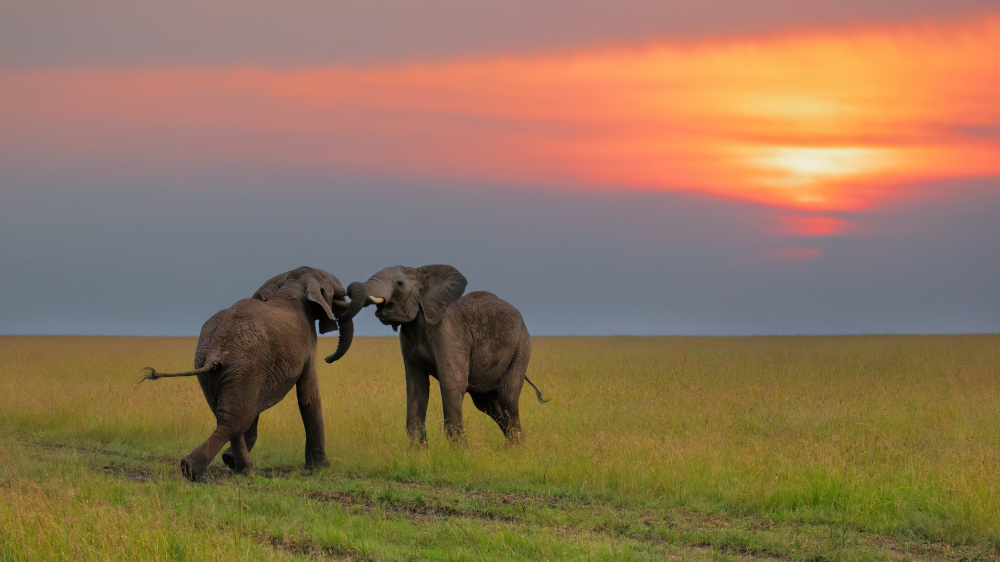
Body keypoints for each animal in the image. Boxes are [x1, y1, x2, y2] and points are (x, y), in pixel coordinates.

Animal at [142, 264, 356, 480]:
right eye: (337, 293)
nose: (329, 358)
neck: (291, 283)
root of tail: (216, 349)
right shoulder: (307, 344)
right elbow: (308, 397)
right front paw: (320, 467)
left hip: (219, 368)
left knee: (230, 416)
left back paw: (234, 467)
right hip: (244, 365)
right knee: (235, 421)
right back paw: (200, 468)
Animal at [326, 264, 548, 444]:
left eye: (399, 283)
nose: (327, 358)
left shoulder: (448, 333)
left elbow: (452, 383)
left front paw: (460, 454)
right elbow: (416, 387)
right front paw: (417, 453)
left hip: (521, 348)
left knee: (508, 398)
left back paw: (517, 449)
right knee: (488, 404)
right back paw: (512, 448)